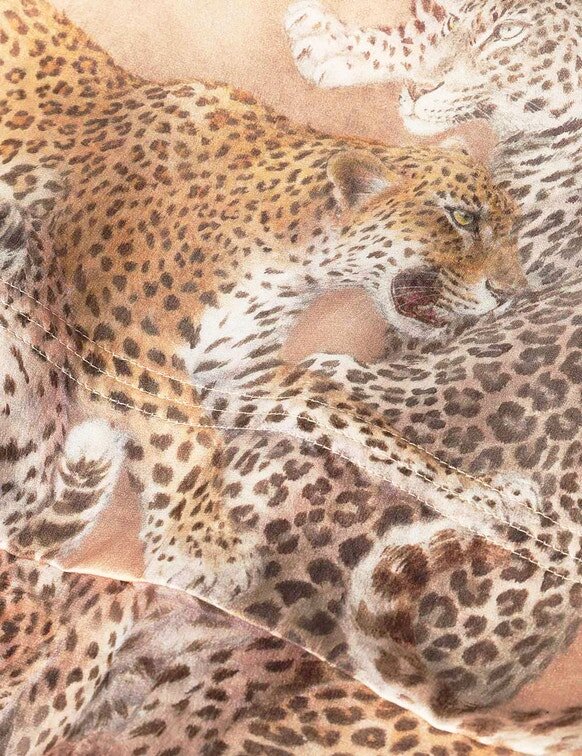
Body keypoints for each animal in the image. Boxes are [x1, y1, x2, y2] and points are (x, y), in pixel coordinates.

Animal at [0, 0, 581, 752]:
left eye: (509, 229)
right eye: (461, 218)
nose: (515, 290)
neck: (298, 252)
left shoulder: (238, 380)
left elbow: (350, 419)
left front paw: (493, 500)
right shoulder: (120, 332)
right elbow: (187, 439)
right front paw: (206, 551)